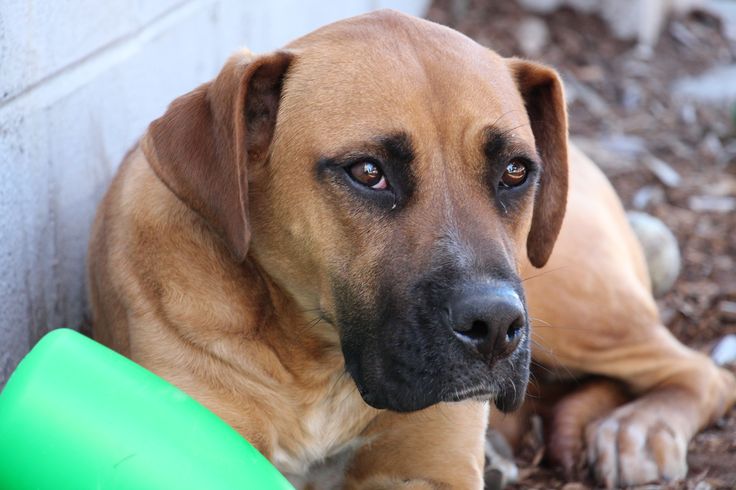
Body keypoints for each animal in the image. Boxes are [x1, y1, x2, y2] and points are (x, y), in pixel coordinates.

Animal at [87, 9, 736, 488]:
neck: (316, 362)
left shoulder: (430, 469)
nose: (495, 326)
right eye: (368, 172)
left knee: (699, 369)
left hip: (575, 299)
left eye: (515, 171)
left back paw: (640, 429)